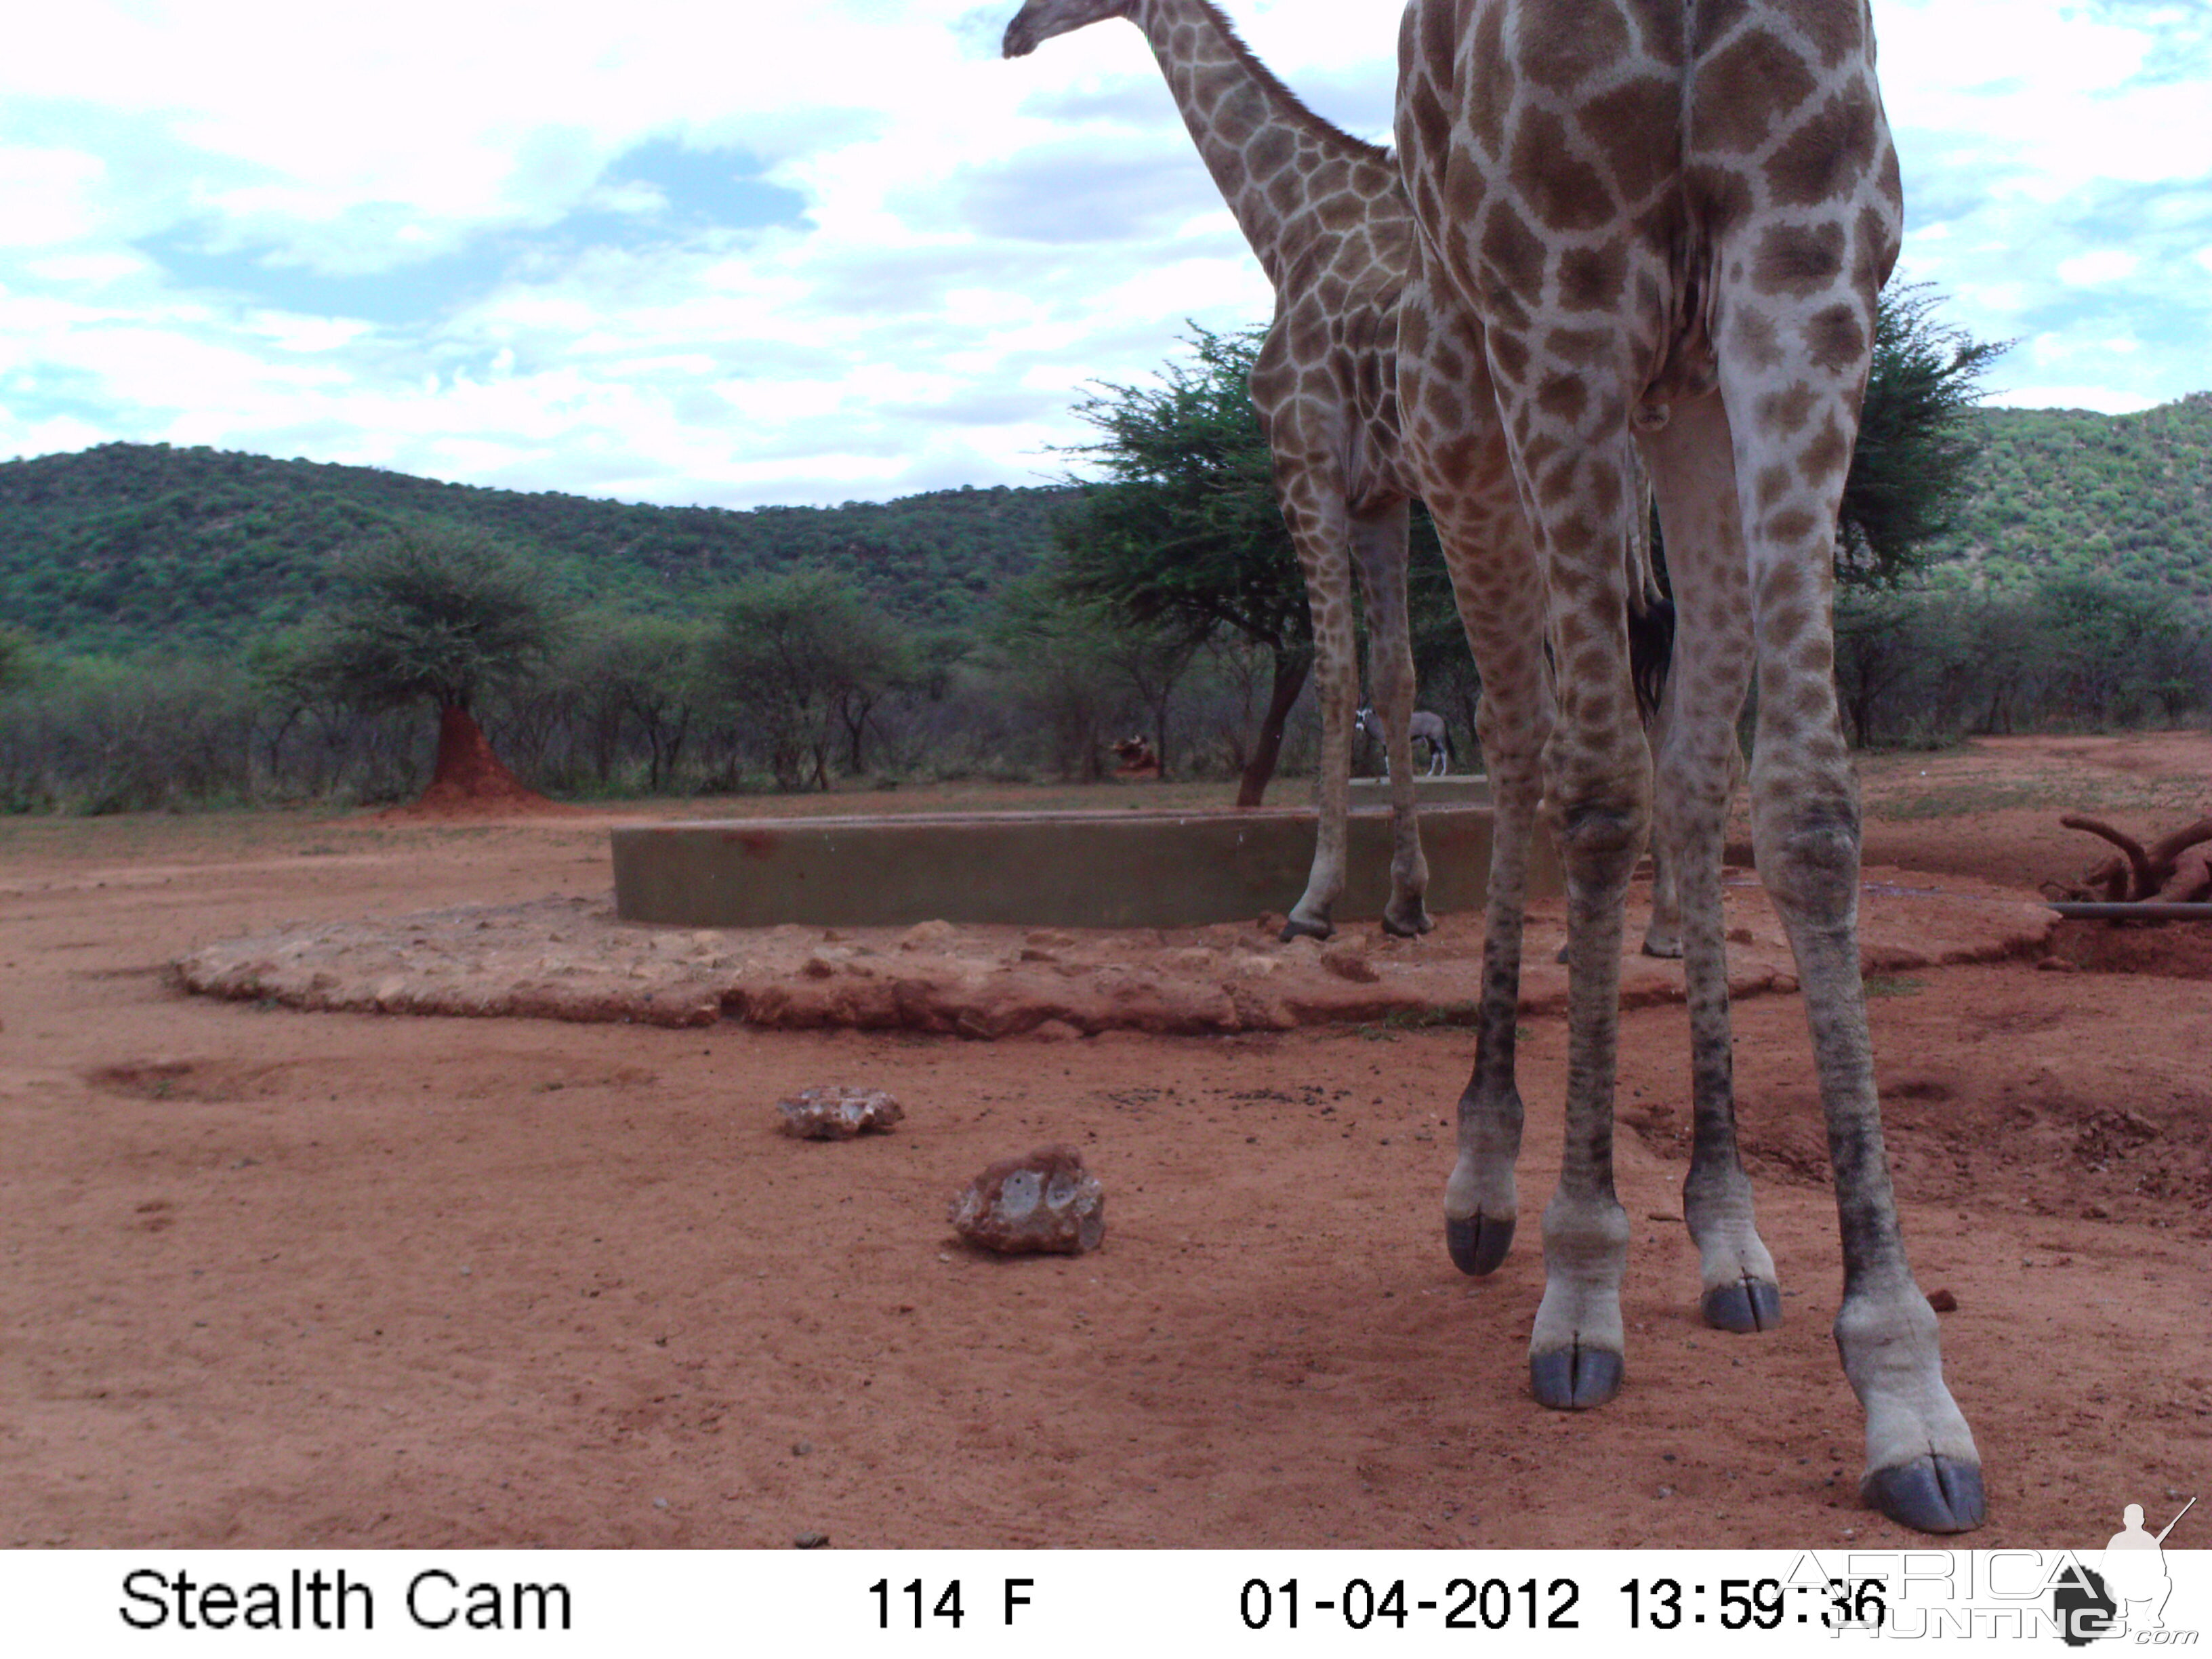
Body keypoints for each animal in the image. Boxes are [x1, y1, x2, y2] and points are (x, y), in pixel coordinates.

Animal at [1004, 0, 1433, 942]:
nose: (1011, 35)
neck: (1290, 226)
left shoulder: (1304, 464)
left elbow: (1337, 673)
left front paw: (1315, 903)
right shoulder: (1383, 495)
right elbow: (1394, 677)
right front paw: (1405, 903)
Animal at [1397, 0, 1990, 1530]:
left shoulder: (1802, 269)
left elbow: (1811, 810)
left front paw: (1904, 1383)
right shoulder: (1562, 292)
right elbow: (1594, 792)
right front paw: (1579, 1277)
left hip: (1685, 402)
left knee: (1686, 766)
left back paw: (1726, 1230)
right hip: (1466, 387)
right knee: (1523, 733)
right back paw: (1484, 1182)